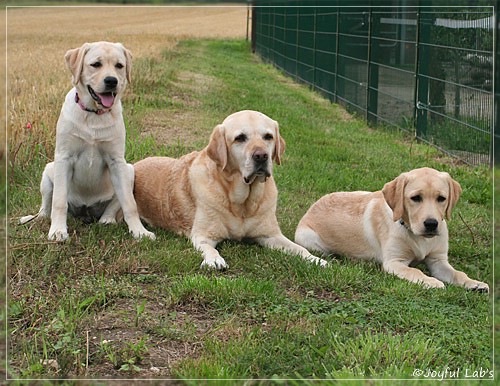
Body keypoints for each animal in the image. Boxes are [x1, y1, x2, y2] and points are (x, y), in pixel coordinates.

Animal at [20, 42, 154, 241]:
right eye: (96, 64)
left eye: (119, 66)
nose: (111, 81)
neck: (94, 114)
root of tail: (86, 211)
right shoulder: (64, 158)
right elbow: (59, 201)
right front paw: (58, 231)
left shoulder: (117, 161)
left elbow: (130, 204)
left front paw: (139, 231)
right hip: (49, 170)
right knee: (46, 207)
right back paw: (37, 218)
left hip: (129, 171)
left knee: (114, 205)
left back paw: (107, 219)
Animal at [124, 109, 328, 268]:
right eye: (240, 138)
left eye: (268, 137)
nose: (261, 156)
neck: (243, 203)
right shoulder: (203, 235)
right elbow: (208, 248)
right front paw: (214, 260)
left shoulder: (270, 235)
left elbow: (298, 248)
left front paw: (315, 259)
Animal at [296, 167, 488, 292]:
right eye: (416, 198)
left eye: (441, 198)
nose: (432, 224)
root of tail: (313, 205)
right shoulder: (394, 262)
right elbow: (415, 270)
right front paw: (431, 281)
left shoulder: (438, 261)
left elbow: (458, 273)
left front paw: (474, 283)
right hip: (309, 239)